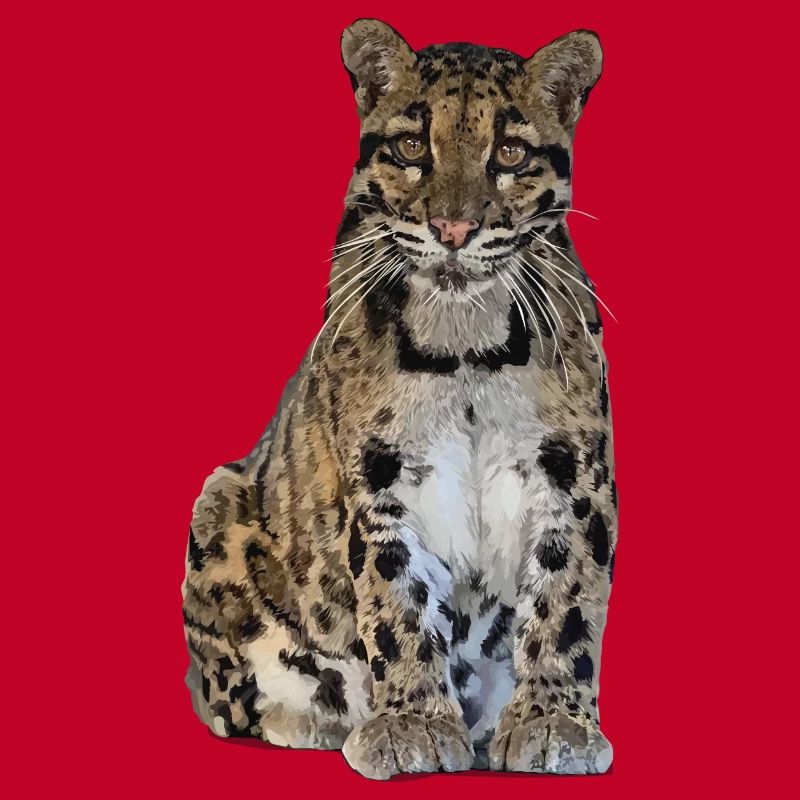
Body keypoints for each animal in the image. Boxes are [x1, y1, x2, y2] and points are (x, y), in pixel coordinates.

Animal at [182, 18, 617, 779]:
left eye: (509, 152)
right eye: (414, 145)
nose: (453, 230)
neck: (466, 343)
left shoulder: (574, 475)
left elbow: (566, 600)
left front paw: (552, 721)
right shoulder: (379, 478)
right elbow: (397, 601)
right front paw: (412, 723)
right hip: (218, 503)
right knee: (230, 699)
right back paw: (320, 719)